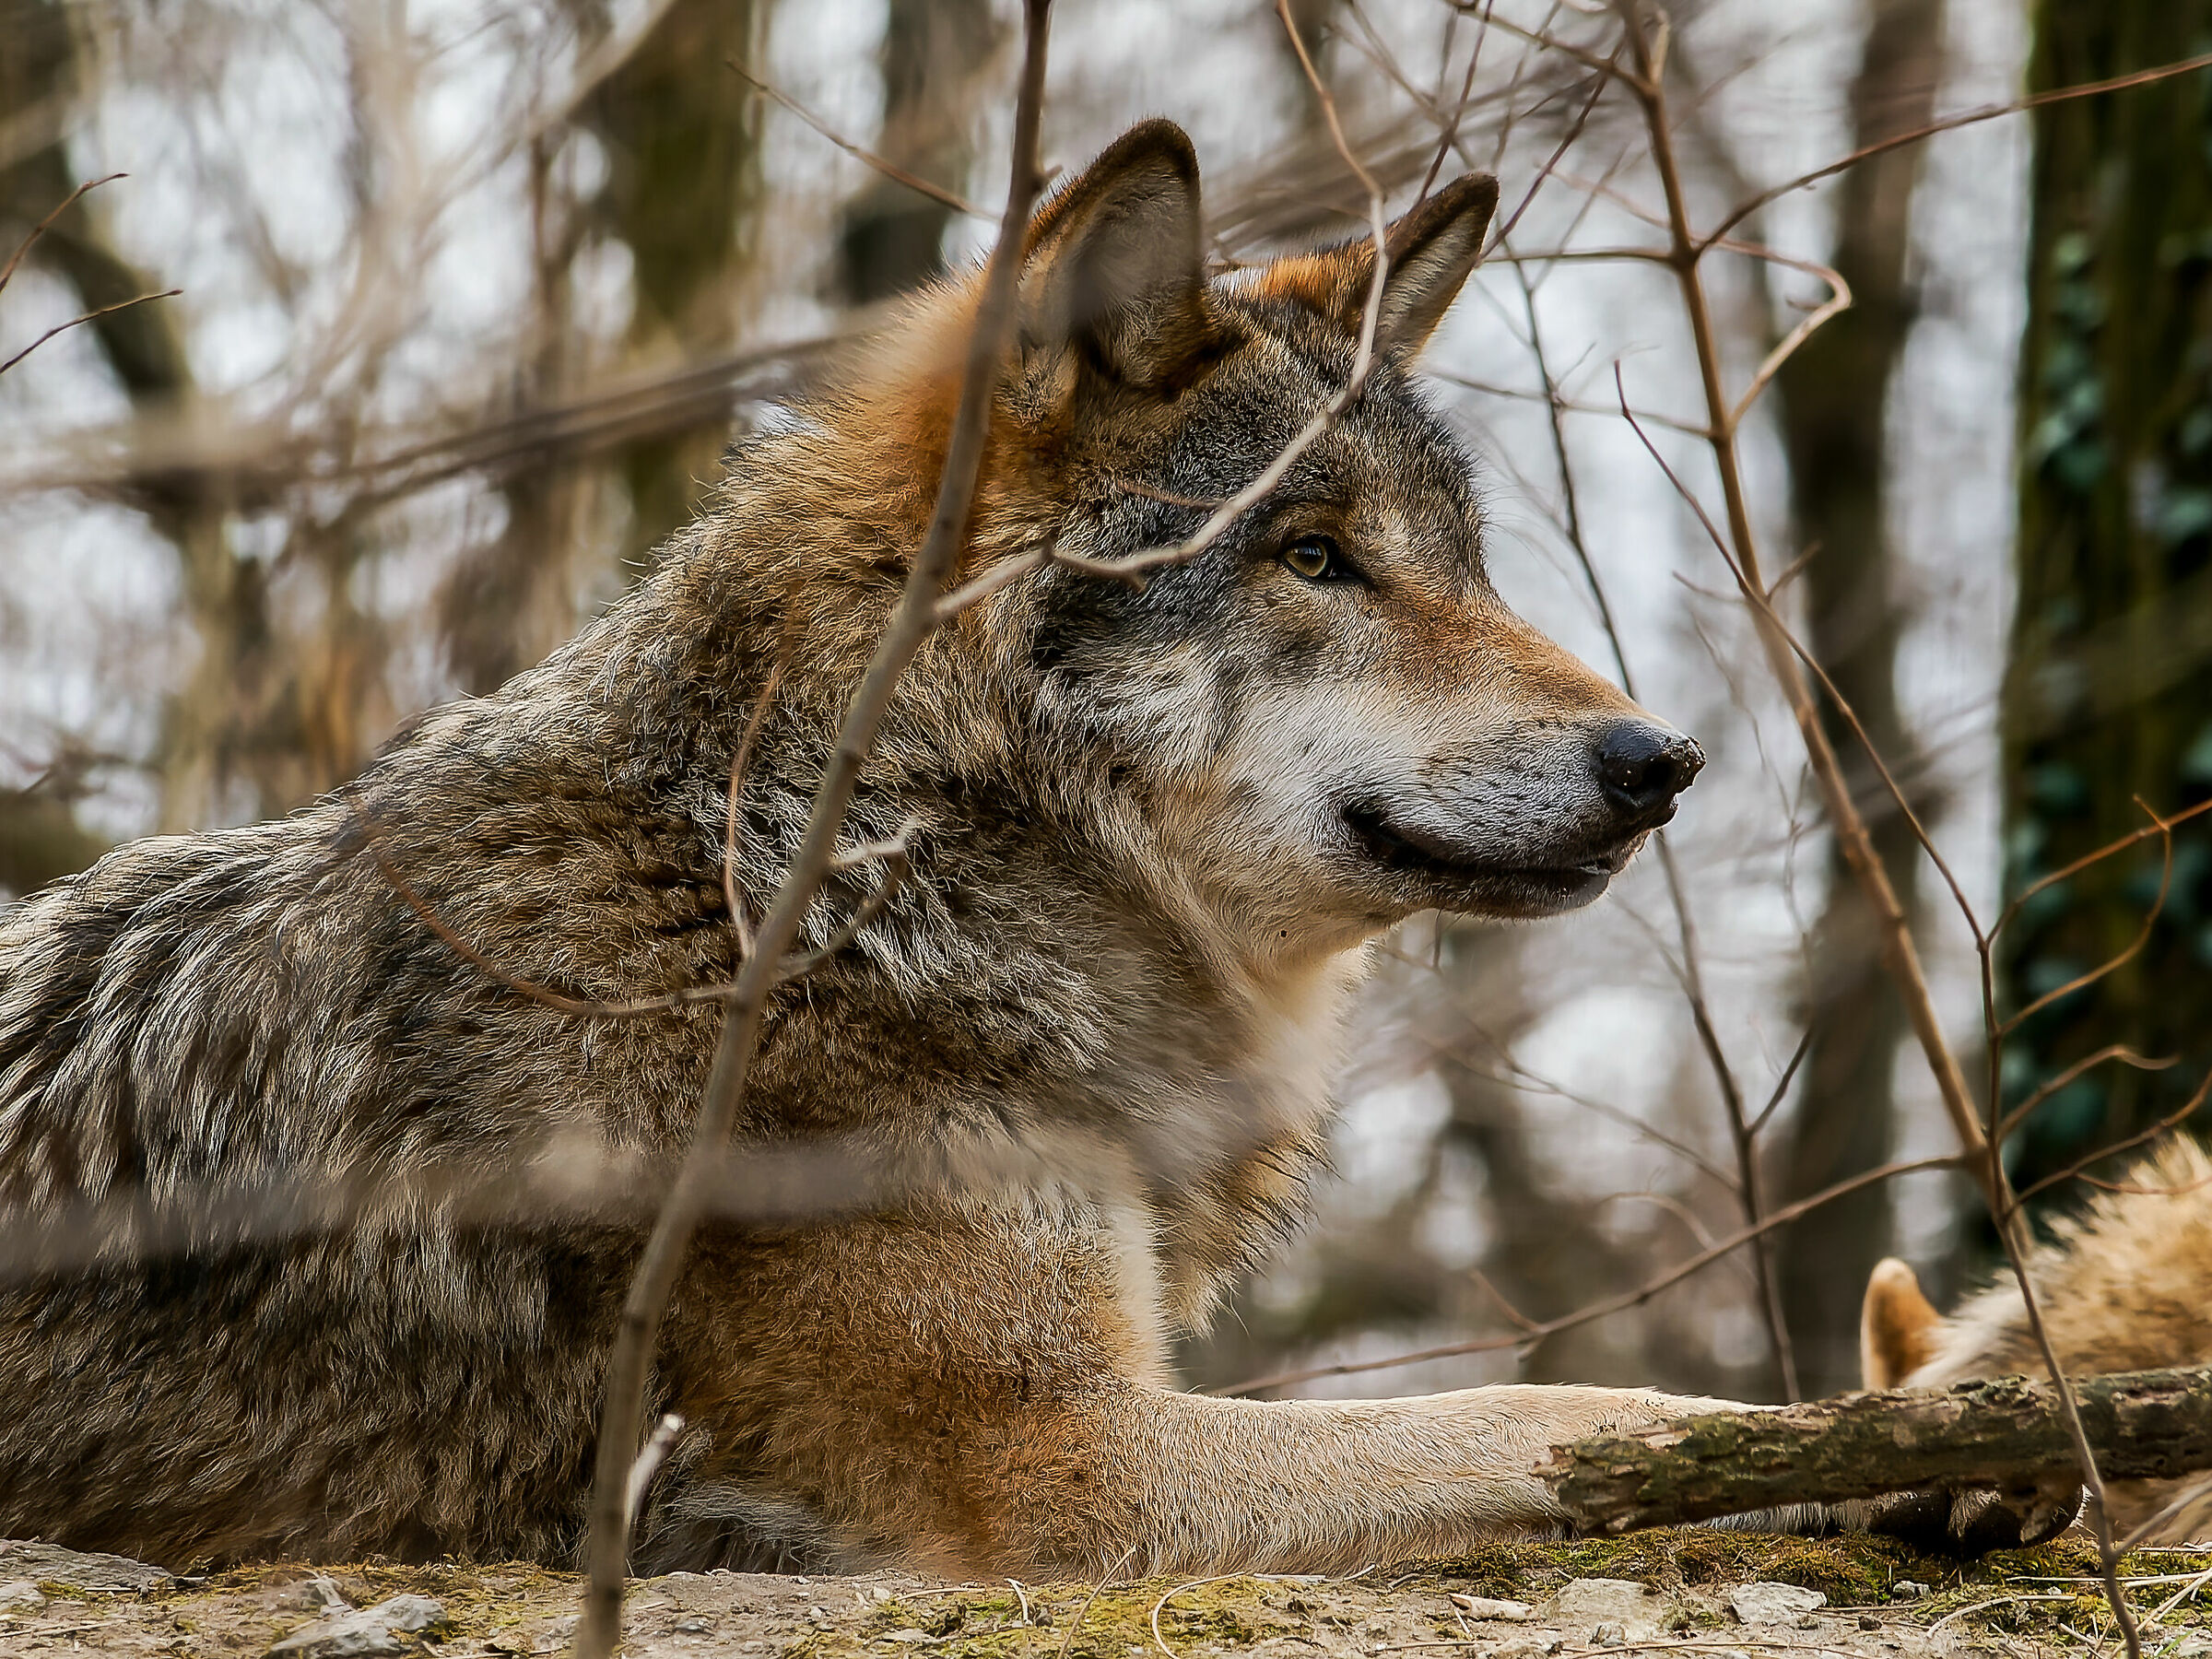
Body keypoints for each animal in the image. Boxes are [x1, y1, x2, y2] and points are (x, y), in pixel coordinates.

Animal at [0, 120, 2024, 1577]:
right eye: (1315, 558)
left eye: (1462, 563)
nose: (1661, 761)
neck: (845, 882)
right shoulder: (1069, 1457)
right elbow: (1576, 1420)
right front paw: (1891, 1453)